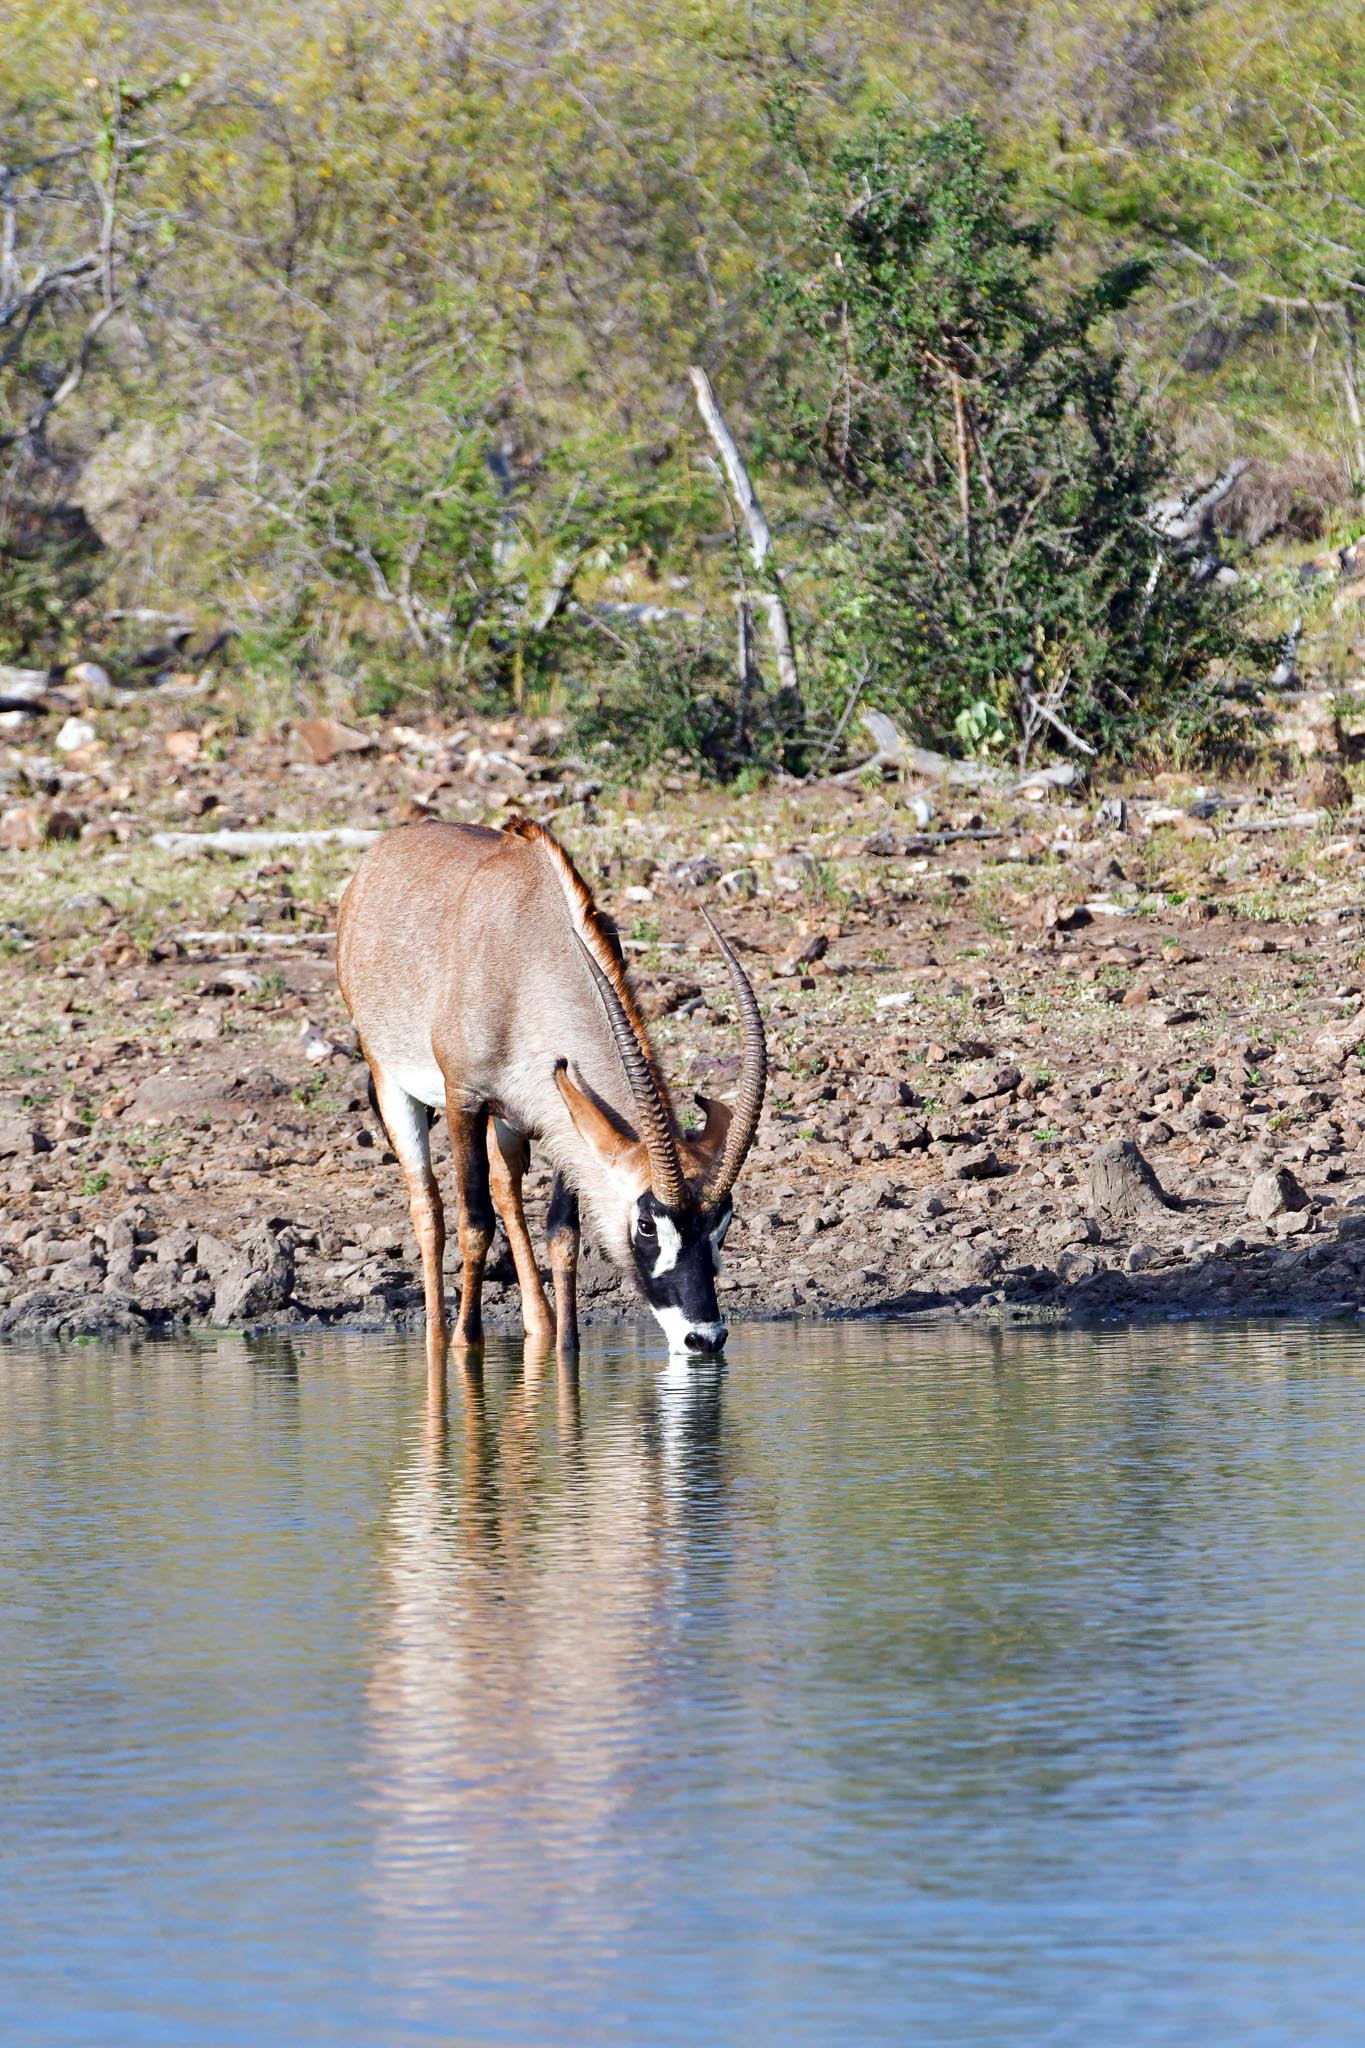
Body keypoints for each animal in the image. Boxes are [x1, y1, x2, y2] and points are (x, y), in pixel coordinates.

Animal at [335, 817, 766, 1355]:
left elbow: (563, 1234)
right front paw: (465, 1343)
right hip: (393, 1083)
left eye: (723, 1224)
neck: (528, 955)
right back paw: (438, 1333)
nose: (704, 1337)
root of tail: (382, 851)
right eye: (647, 1224)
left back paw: (539, 1324)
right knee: (428, 1205)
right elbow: (474, 1225)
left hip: (512, 1117)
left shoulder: (565, 1115)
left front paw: (566, 1347)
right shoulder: (464, 1099)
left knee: (505, 1188)